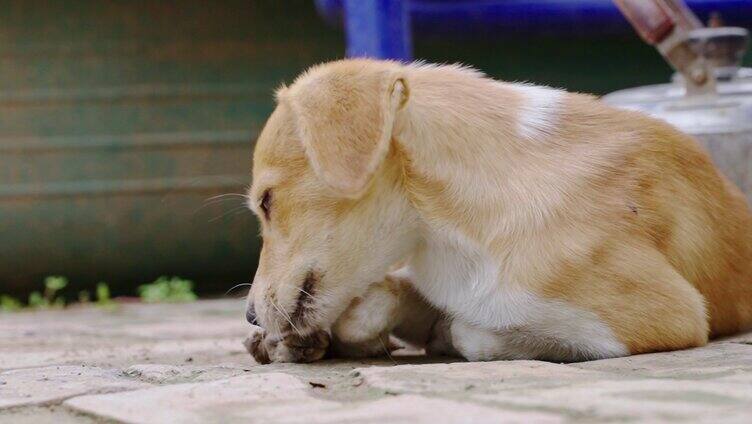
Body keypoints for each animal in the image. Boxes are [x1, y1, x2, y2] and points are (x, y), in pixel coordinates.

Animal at [245, 58, 752, 364]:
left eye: (267, 202)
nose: (248, 316)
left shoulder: (670, 314)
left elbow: (472, 331)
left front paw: (445, 330)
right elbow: (375, 302)